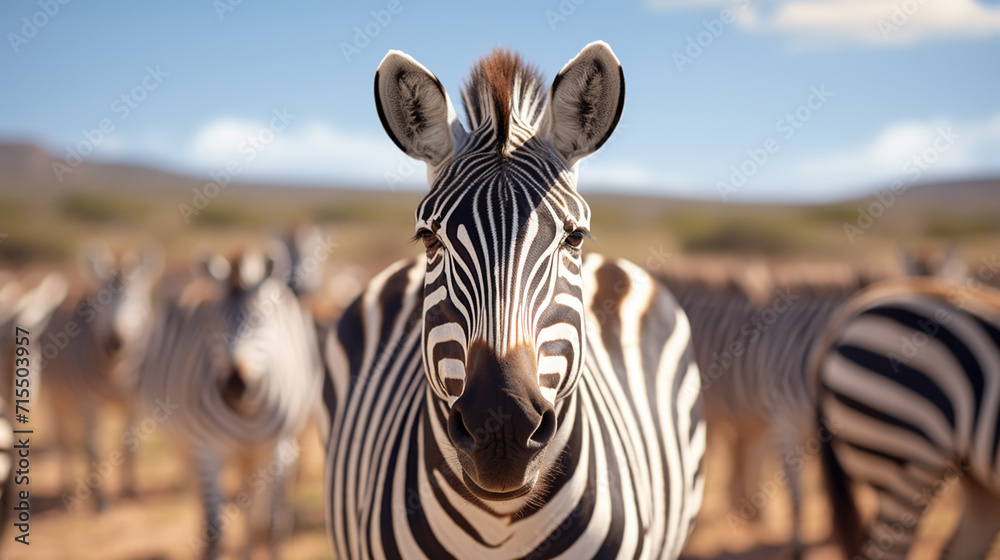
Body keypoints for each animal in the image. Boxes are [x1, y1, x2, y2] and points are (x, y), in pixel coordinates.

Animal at [38, 242, 161, 512]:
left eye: (135, 298)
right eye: (102, 301)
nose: (114, 342)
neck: (117, 372)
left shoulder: (134, 403)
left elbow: (130, 445)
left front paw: (130, 491)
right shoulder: (89, 403)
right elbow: (95, 447)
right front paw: (101, 501)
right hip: (56, 400)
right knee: (64, 442)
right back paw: (68, 490)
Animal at [136, 245, 322, 559]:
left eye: (261, 319)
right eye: (212, 323)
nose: (234, 385)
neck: (247, 412)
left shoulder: (276, 448)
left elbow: (269, 524)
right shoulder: (206, 449)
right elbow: (214, 528)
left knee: (256, 510)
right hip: (185, 449)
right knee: (205, 499)